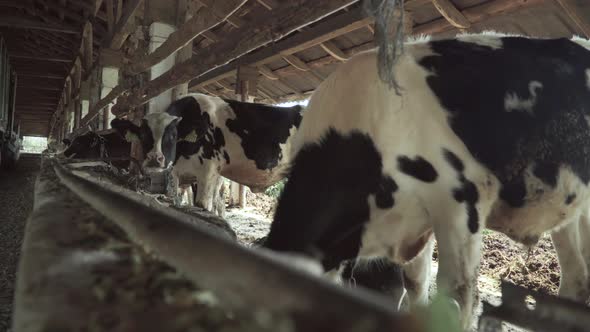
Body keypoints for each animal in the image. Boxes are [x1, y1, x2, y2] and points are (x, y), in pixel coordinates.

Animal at [111, 94, 306, 215]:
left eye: (173, 135)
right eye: (143, 135)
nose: (155, 159)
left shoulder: (208, 171)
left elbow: (202, 206)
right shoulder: (175, 173)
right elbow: (174, 200)